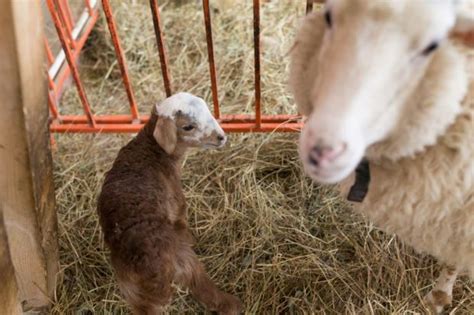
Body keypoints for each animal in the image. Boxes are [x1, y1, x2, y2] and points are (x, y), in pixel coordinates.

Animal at [97, 92, 243, 314]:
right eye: (188, 126)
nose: (221, 137)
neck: (151, 149)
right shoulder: (177, 202)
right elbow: (182, 222)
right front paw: (192, 238)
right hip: (183, 261)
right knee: (204, 289)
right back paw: (232, 304)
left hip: (132, 291)